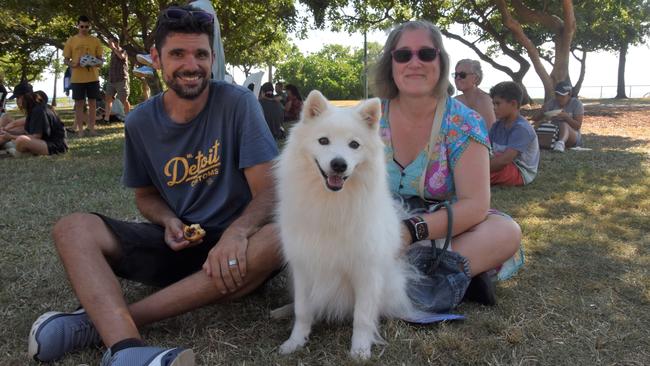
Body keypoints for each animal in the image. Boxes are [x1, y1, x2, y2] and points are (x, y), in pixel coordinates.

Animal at [274, 90, 416, 358]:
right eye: (323, 141)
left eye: (354, 145)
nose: (339, 164)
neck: (332, 202)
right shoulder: (303, 267)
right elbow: (302, 310)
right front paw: (295, 342)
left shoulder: (366, 272)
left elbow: (362, 317)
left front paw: (360, 350)